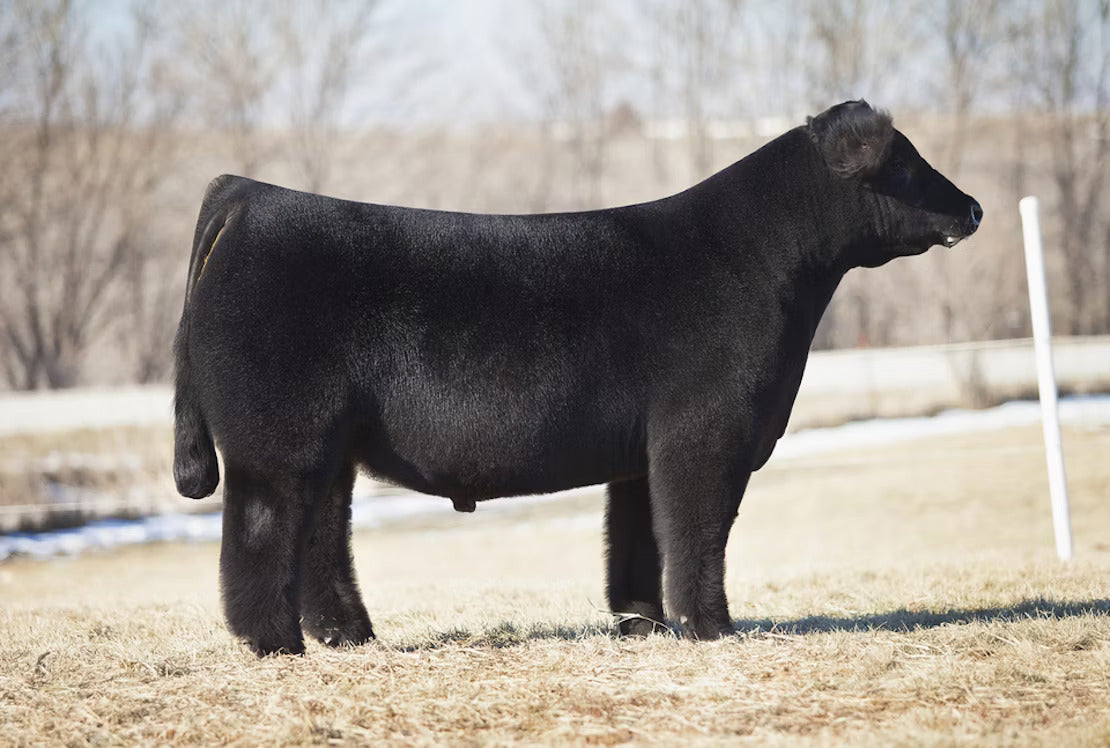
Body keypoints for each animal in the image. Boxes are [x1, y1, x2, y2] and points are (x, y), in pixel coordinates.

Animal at [173, 100, 982, 655]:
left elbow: (640, 537)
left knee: (321, 537)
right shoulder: (707, 433)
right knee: (261, 534)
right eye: (903, 165)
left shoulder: (645, 452)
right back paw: (275, 643)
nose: (973, 207)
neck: (759, 261)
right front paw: (711, 627)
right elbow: (698, 532)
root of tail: (249, 195)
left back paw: (350, 635)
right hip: (278, 443)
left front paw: (642, 624)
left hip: (328, 447)